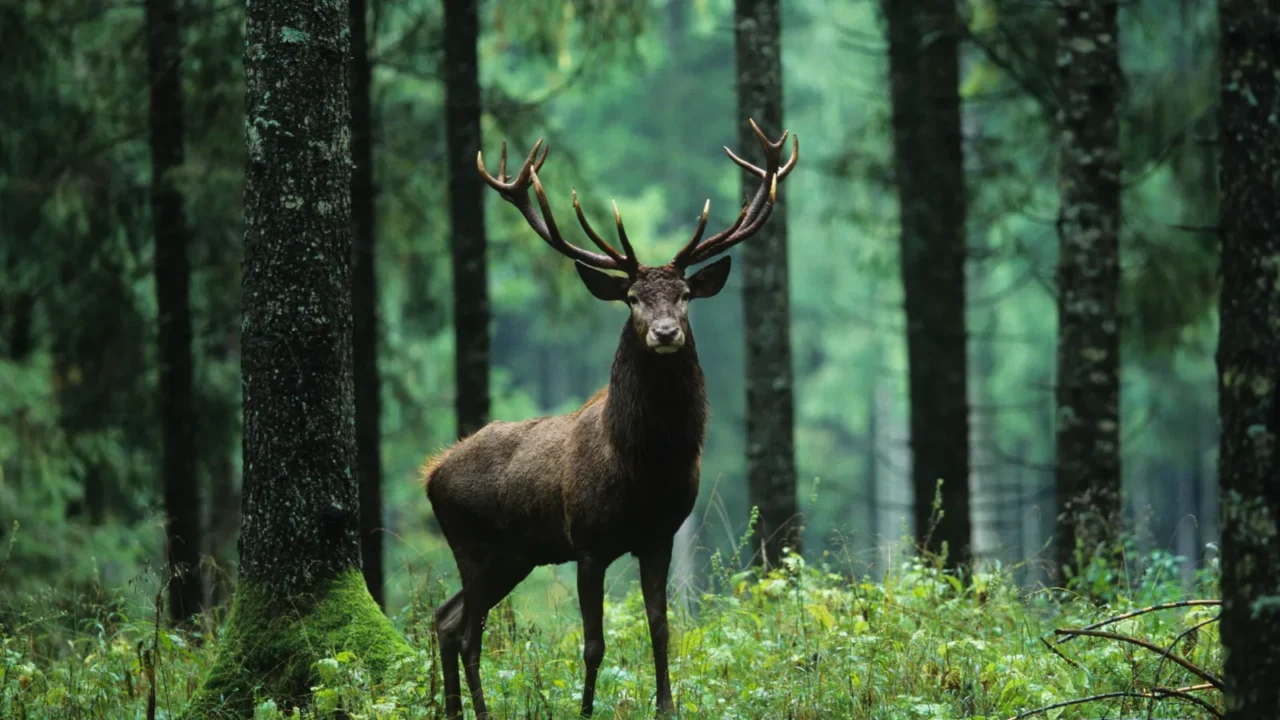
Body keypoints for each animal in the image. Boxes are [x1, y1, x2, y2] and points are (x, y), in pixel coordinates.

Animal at [422, 119, 798, 720]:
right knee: (466, 631)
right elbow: (593, 644)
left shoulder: (660, 535)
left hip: (514, 554)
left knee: (445, 618)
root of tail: (432, 473)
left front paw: (667, 706)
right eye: (632, 298)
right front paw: (584, 710)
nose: (665, 332)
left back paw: (456, 708)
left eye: (686, 294)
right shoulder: (589, 542)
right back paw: (477, 711)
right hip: (473, 544)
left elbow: (661, 628)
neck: (643, 466)